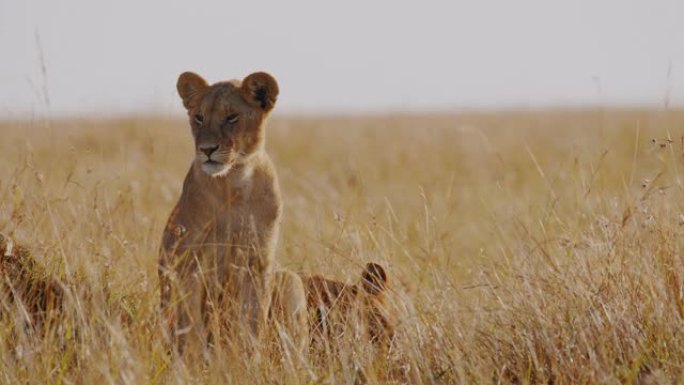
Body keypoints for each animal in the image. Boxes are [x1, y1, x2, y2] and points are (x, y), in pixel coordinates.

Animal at [159, 70, 290, 352]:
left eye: (232, 117)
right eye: (199, 117)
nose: (207, 149)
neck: (233, 182)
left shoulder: (258, 261)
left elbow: (252, 322)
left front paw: (248, 356)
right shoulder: (189, 262)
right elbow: (191, 324)